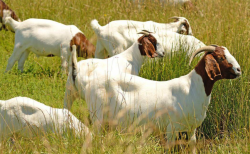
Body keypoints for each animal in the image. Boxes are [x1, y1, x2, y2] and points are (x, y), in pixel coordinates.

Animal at [68, 44, 240, 153]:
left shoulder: (192, 128)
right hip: (97, 115)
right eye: (220, 57)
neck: (192, 88)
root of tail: (90, 81)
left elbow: (192, 146)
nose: (239, 70)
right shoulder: (171, 127)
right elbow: (169, 148)